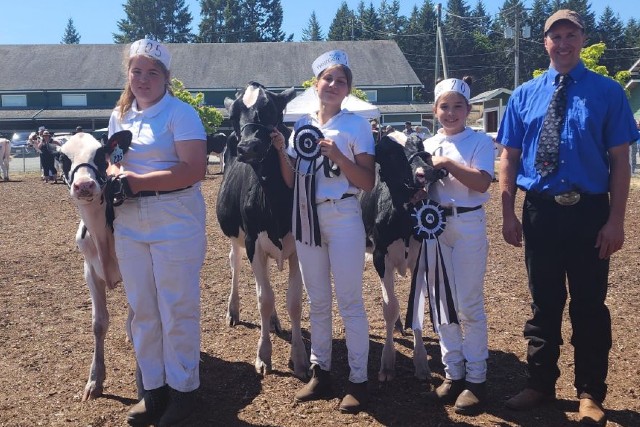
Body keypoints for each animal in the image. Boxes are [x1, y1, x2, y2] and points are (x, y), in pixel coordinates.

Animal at [57, 130, 139, 401]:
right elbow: (98, 323)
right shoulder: (90, 272)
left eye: (101, 153)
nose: (83, 185)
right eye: (62, 157)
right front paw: (95, 380)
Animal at [216, 82, 309, 378]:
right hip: (236, 237)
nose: (248, 147)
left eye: (271, 110)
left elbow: (294, 301)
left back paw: (276, 321)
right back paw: (233, 310)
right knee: (235, 263)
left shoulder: (299, 247)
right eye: (233, 116)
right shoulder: (253, 242)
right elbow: (263, 299)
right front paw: (264, 355)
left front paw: (300, 358)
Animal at [359, 130, 446, 383]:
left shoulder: (422, 258)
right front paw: (387, 363)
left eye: (420, 145)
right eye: (389, 153)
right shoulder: (380, 257)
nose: (427, 172)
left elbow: (415, 306)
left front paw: (421, 362)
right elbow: (389, 308)